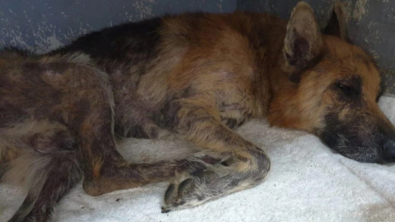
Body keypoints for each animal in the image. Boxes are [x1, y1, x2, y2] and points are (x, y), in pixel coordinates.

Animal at [0, 1, 395, 222]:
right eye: (345, 89)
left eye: (379, 94)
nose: (393, 150)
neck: (259, 56)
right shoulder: (183, 109)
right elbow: (262, 158)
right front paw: (201, 188)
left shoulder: (218, 119)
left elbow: (246, 150)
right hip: (84, 73)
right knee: (102, 174)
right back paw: (189, 165)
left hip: (62, 159)